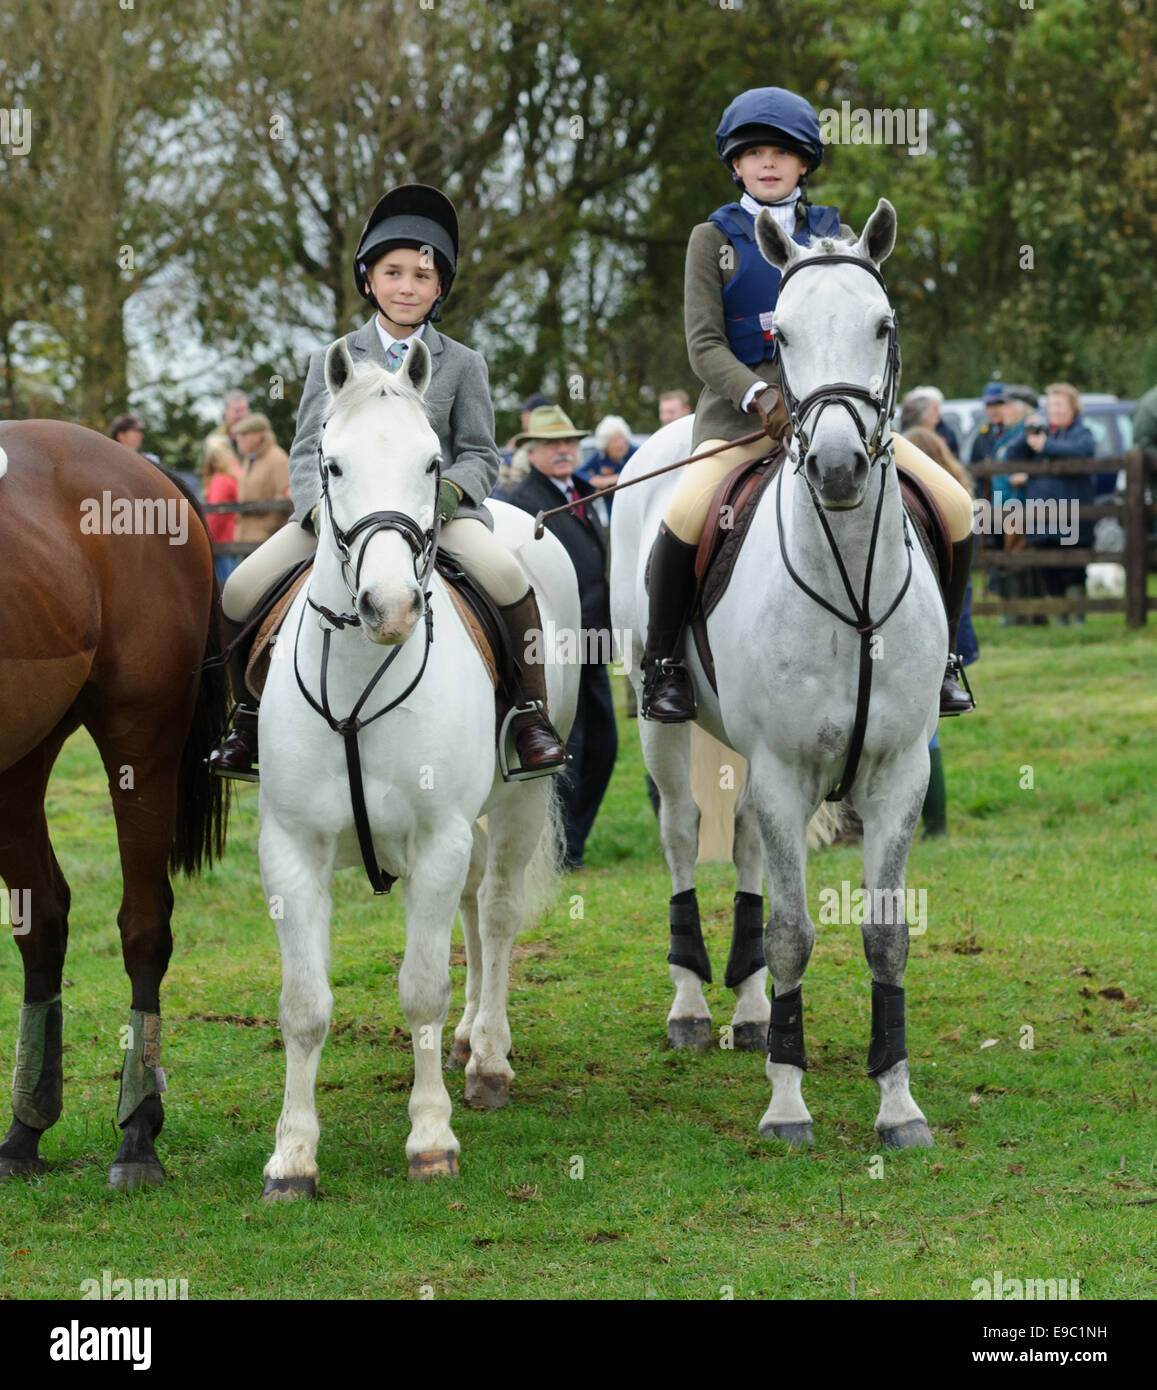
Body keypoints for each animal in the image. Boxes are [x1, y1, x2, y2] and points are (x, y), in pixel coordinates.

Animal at [0, 417, 229, 1189]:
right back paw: (24, 1128)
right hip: (22, 754)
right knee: (43, 920)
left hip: (141, 738)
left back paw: (137, 1133)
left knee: (144, 925)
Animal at [254, 339, 578, 1195]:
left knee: (494, 912)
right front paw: (292, 1157)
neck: (356, 679)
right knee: (470, 906)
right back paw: (468, 1042)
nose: (390, 607)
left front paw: (430, 1138)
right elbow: (304, 1003)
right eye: (330, 464)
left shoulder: (436, 838)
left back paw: (488, 1059)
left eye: (433, 463)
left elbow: (422, 988)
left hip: (517, 799)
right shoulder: (290, 849)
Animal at [609, 201, 945, 1145]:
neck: (853, 590)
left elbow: (884, 938)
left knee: (747, 848)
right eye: (781, 336)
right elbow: (797, 935)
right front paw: (787, 1105)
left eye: (882, 325)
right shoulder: (786, 769)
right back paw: (692, 1008)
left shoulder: (896, 774)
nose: (834, 467)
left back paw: (754, 1012)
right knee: (683, 835)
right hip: (661, 726)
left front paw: (897, 1105)